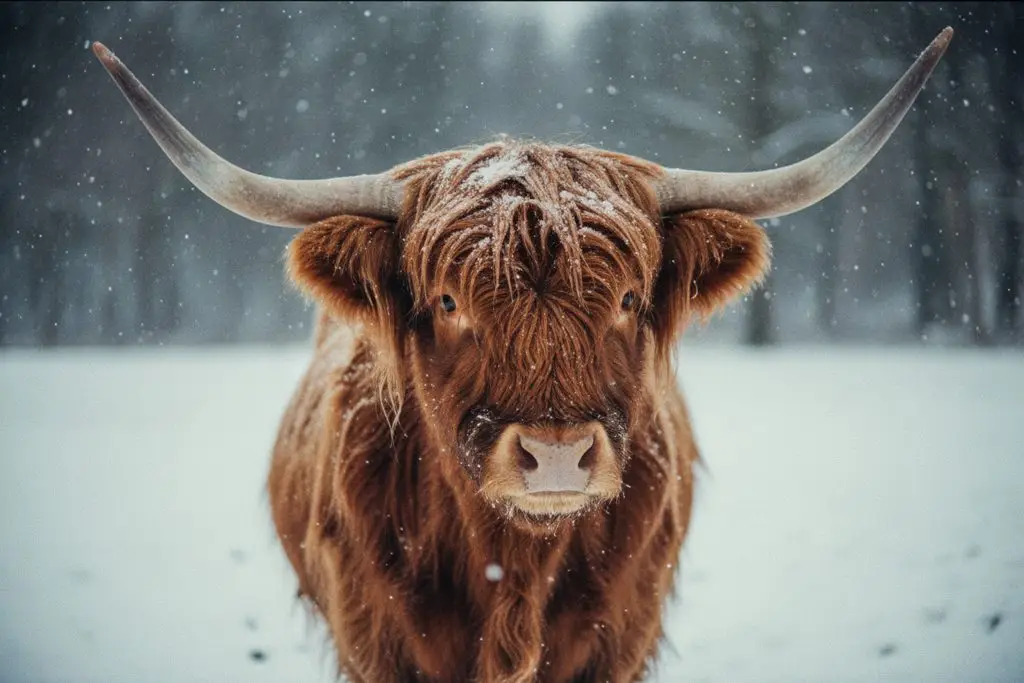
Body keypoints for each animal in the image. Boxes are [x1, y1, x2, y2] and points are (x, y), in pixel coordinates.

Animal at [92, 27, 952, 683]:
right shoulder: (377, 639)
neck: (513, 567)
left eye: (629, 298)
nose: (558, 454)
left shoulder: (617, 639)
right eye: (449, 302)